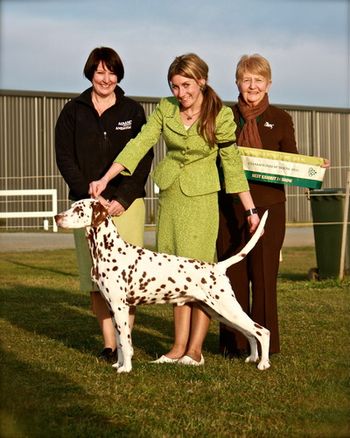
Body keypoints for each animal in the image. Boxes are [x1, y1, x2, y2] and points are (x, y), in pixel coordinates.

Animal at [56, 198, 270, 372]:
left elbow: (125, 342)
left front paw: (126, 369)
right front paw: (118, 364)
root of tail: (217, 266)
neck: (109, 250)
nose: (57, 217)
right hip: (220, 312)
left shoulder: (120, 308)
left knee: (262, 331)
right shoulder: (112, 308)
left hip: (227, 309)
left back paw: (263, 364)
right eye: (72, 206)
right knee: (250, 333)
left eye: (78, 209)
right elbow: (119, 342)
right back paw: (252, 358)